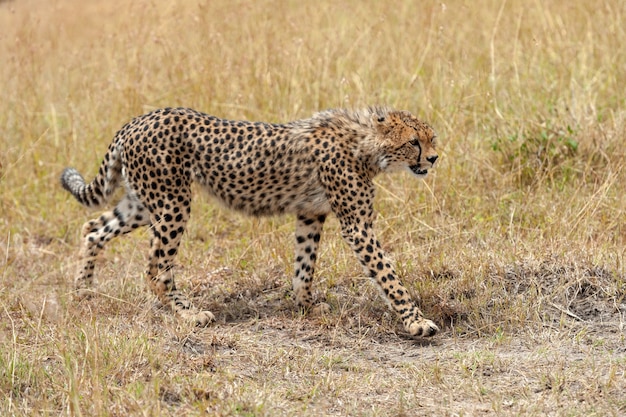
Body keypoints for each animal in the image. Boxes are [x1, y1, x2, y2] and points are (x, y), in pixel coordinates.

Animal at [59, 105, 438, 336]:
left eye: (431, 138)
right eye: (413, 142)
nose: (434, 159)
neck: (366, 144)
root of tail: (138, 119)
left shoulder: (310, 214)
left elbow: (304, 266)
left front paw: (306, 305)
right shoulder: (357, 227)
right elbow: (387, 274)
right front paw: (416, 321)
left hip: (143, 202)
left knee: (93, 229)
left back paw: (83, 291)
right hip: (172, 203)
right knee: (156, 267)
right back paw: (188, 313)